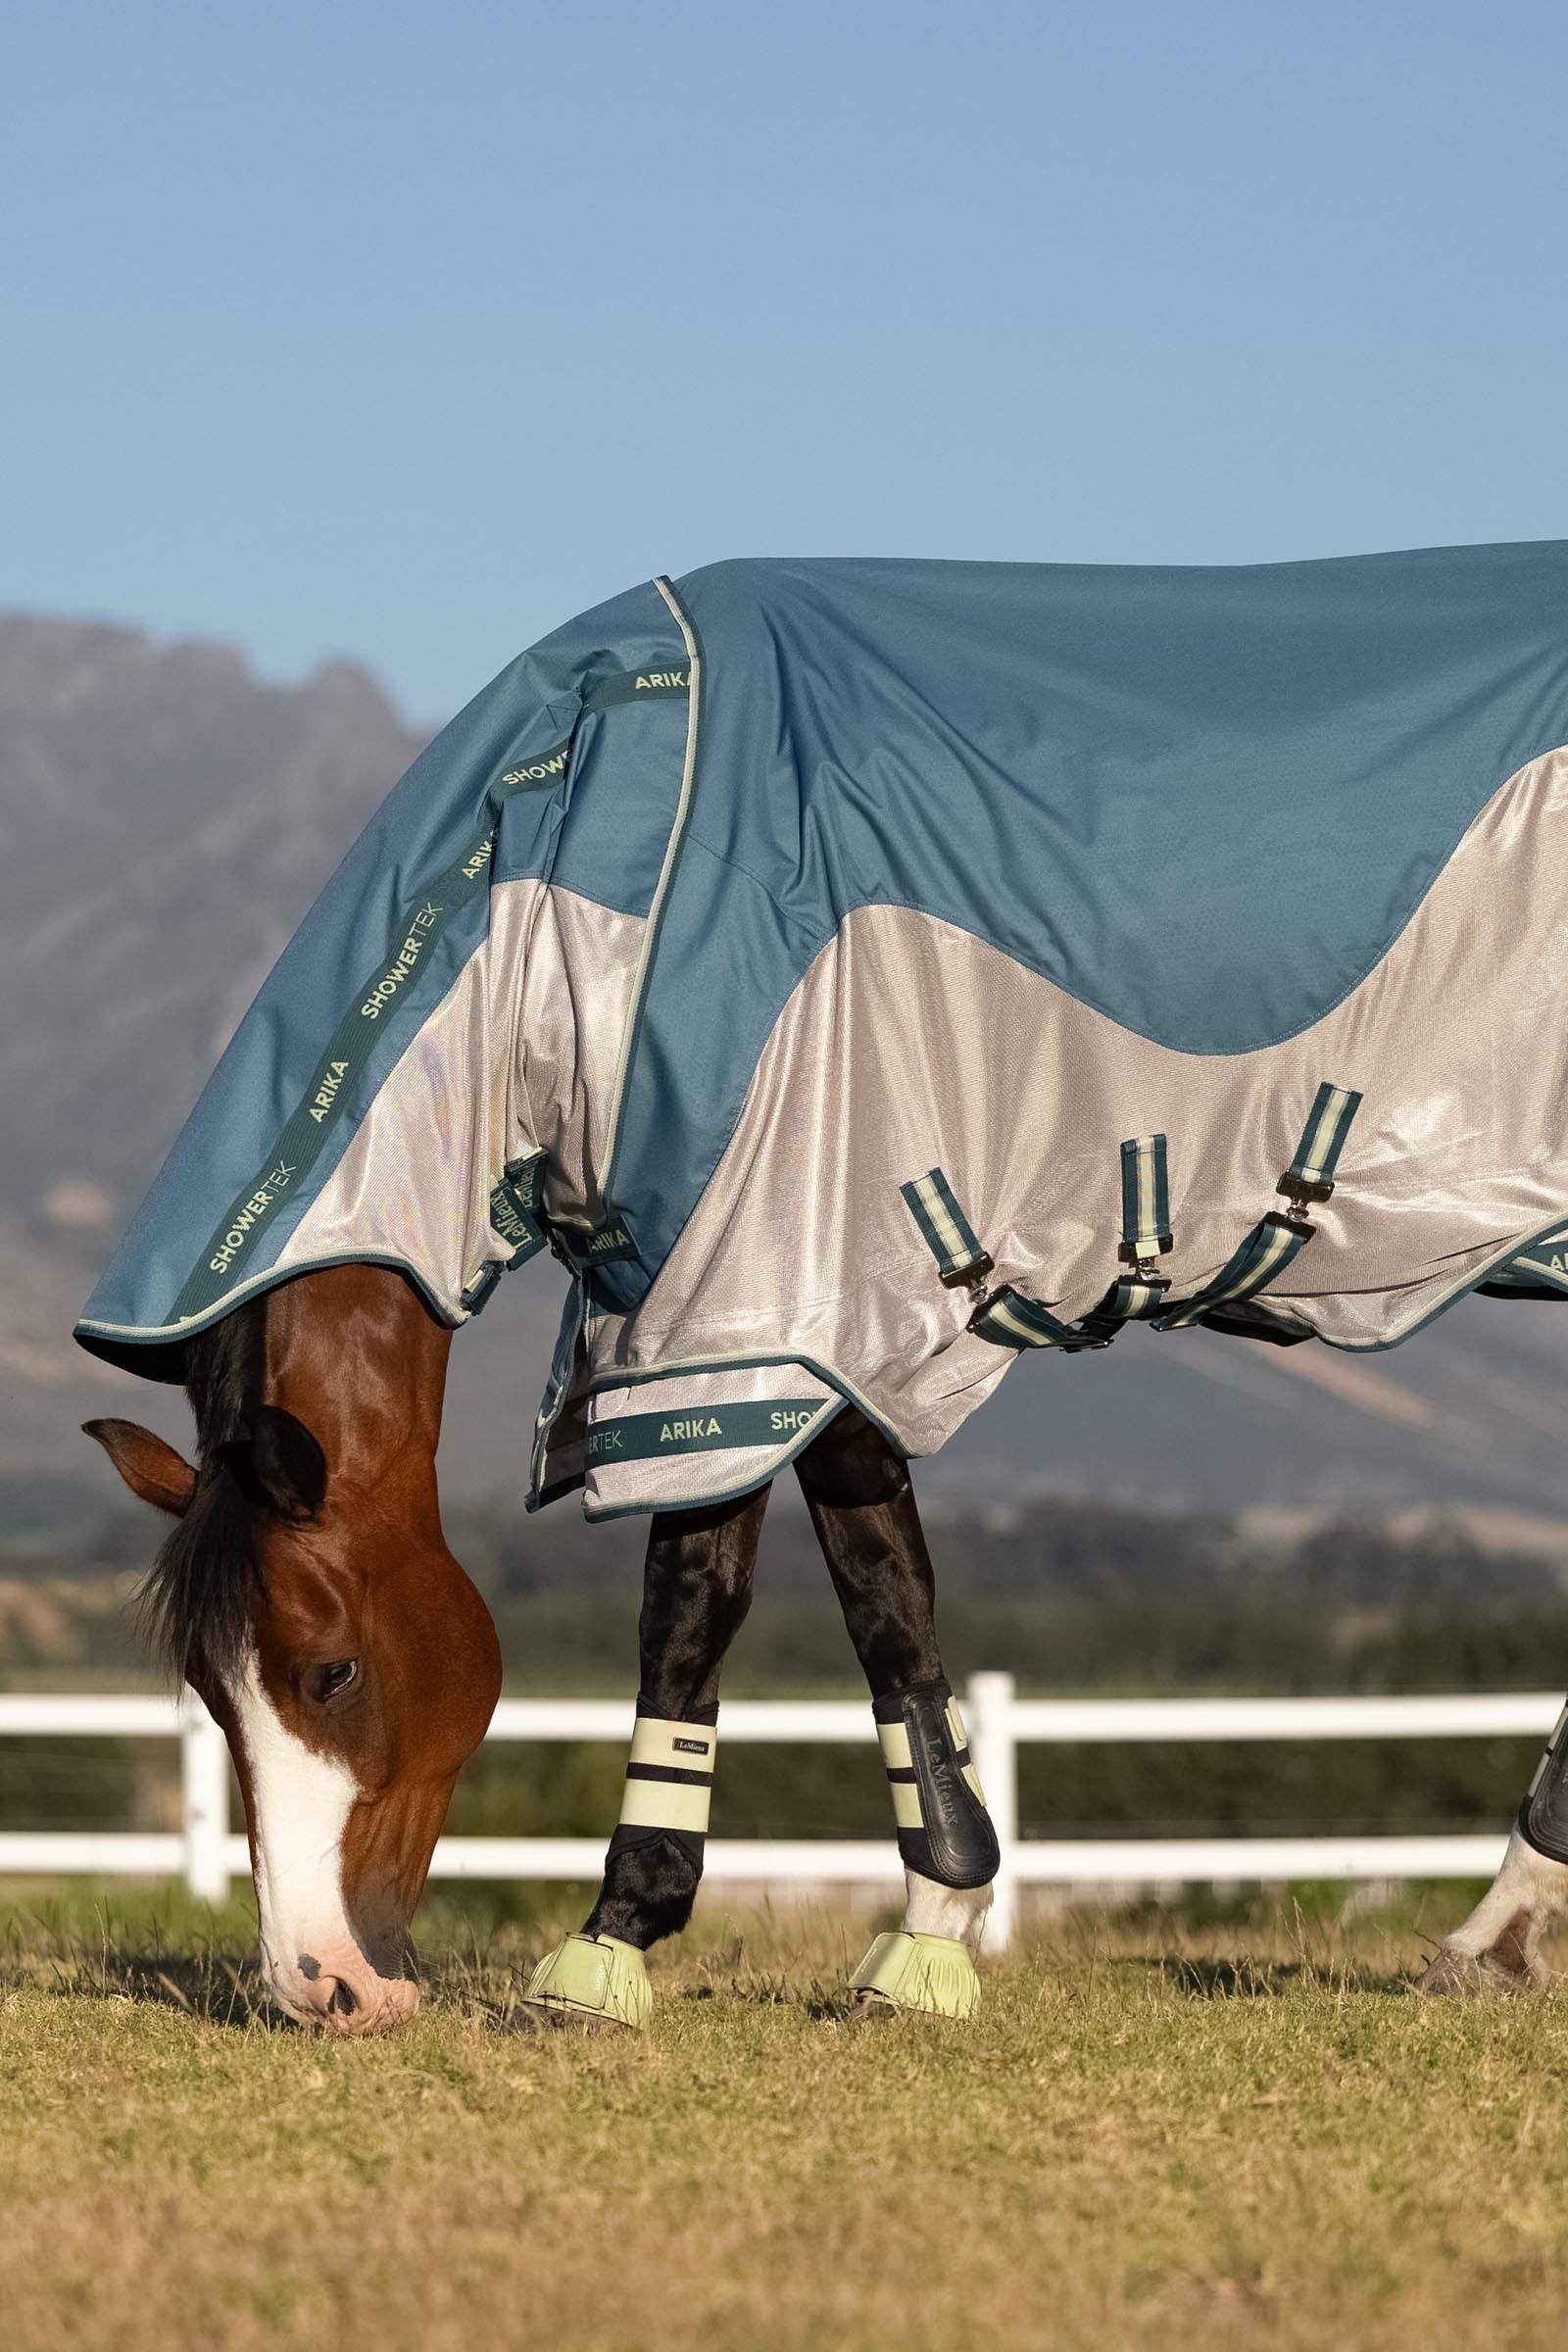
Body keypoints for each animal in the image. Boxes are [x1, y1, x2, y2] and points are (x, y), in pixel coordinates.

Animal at [78, 544, 1568, 2027]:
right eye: (208, 1694)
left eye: (327, 1669)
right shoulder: (813, 1324)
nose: (317, 1986)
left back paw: (1501, 1921)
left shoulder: (749, 1304)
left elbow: (704, 1611)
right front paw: (933, 1928)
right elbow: (885, 1605)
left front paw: (615, 1941)